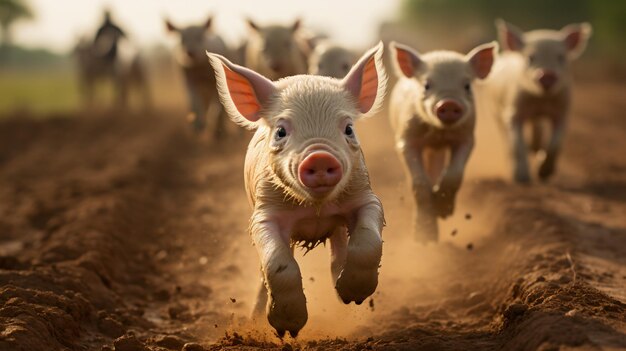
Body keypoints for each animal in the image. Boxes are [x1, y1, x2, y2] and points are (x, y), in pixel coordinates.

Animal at [207, 42, 386, 336]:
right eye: (281, 131)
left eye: (349, 128)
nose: (320, 156)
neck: (315, 209)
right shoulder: (263, 214)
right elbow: (278, 265)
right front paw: (287, 329)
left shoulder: (366, 197)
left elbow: (368, 243)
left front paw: (355, 296)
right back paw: (256, 319)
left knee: (338, 249)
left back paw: (342, 294)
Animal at [388, 40, 494, 242]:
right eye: (426, 85)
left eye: (467, 85)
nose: (449, 103)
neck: (438, 134)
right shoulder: (405, 139)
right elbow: (419, 183)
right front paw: (422, 241)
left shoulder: (467, 138)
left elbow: (454, 174)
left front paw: (444, 212)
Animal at [480, 19, 592, 184]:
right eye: (530, 58)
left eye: (561, 57)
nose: (547, 74)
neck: (541, 100)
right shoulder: (513, 112)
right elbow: (517, 145)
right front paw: (522, 179)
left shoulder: (563, 112)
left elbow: (556, 143)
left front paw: (543, 174)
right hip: (495, 111)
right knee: (506, 138)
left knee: (537, 126)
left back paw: (534, 148)